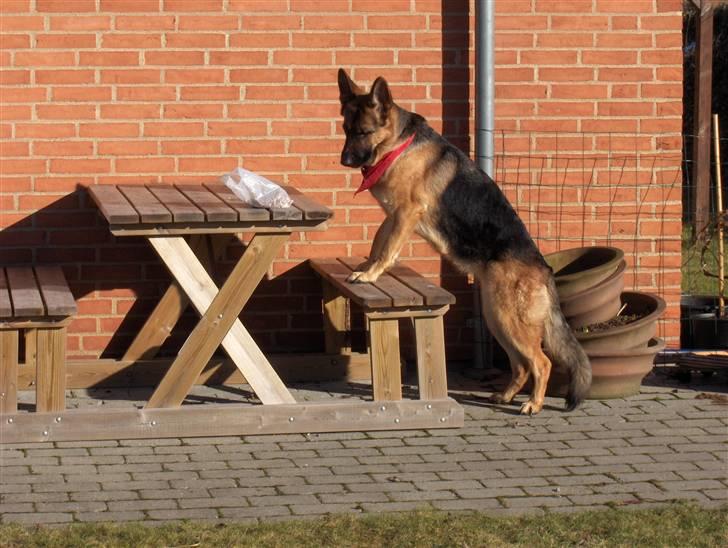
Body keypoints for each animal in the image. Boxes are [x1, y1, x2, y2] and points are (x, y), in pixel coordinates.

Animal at [336, 70, 592, 416]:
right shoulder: (393, 215)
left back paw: (533, 404)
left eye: (363, 132)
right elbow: (379, 241)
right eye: (345, 129)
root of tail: (544, 269)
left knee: (541, 362)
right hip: (497, 319)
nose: (344, 159)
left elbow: (387, 249)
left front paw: (370, 274)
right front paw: (366, 266)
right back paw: (505, 396)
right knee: (521, 365)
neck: (398, 145)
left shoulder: (406, 213)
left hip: (508, 320)